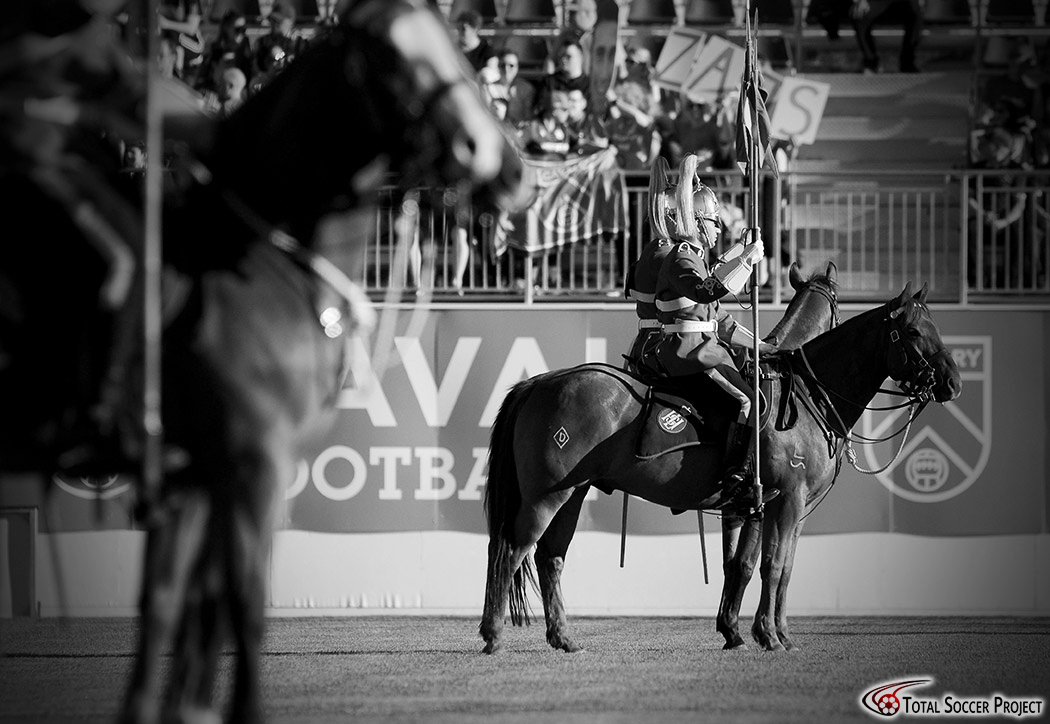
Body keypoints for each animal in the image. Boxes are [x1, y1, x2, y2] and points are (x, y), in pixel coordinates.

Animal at [0, 2, 525, 717]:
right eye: (388, 55)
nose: (505, 164)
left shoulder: (197, 476)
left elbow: (170, 605)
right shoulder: (251, 463)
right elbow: (240, 607)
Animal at [480, 268, 957, 654]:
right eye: (913, 332)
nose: (952, 381)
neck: (805, 396)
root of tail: (542, 380)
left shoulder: (761, 506)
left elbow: (754, 566)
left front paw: (747, 631)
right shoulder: (785, 501)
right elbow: (772, 565)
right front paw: (768, 634)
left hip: (573, 494)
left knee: (549, 558)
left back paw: (563, 637)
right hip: (545, 497)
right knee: (510, 551)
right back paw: (494, 634)